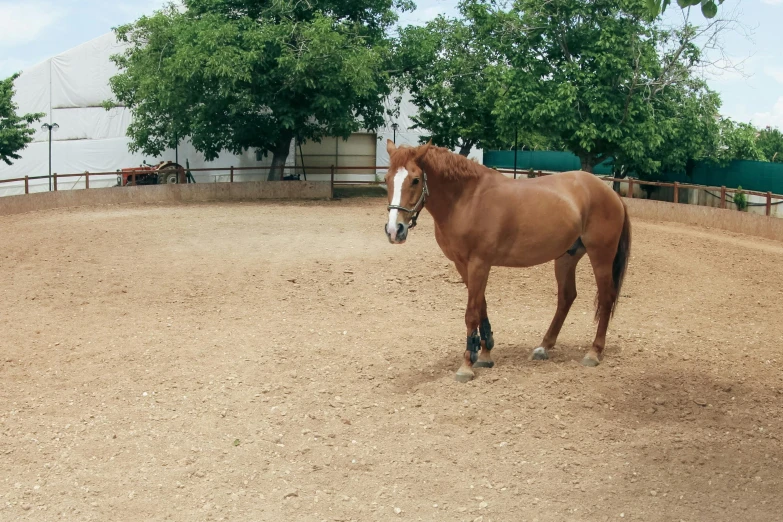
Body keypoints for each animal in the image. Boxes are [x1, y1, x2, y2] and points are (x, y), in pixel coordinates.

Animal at [382, 140, 632, 380]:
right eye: (387, 179)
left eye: (415, 180)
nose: (395, 230)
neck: (467, 199)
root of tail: (611, 193)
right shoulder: (463, 265)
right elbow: (481, 306)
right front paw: (484, 353)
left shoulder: (479, 264)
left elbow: (471, 313)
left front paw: (467, 365)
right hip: (566, 257)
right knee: (566, 297)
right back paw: (544, 347)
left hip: (601, 256)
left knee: (606, 298)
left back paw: (594, 352)